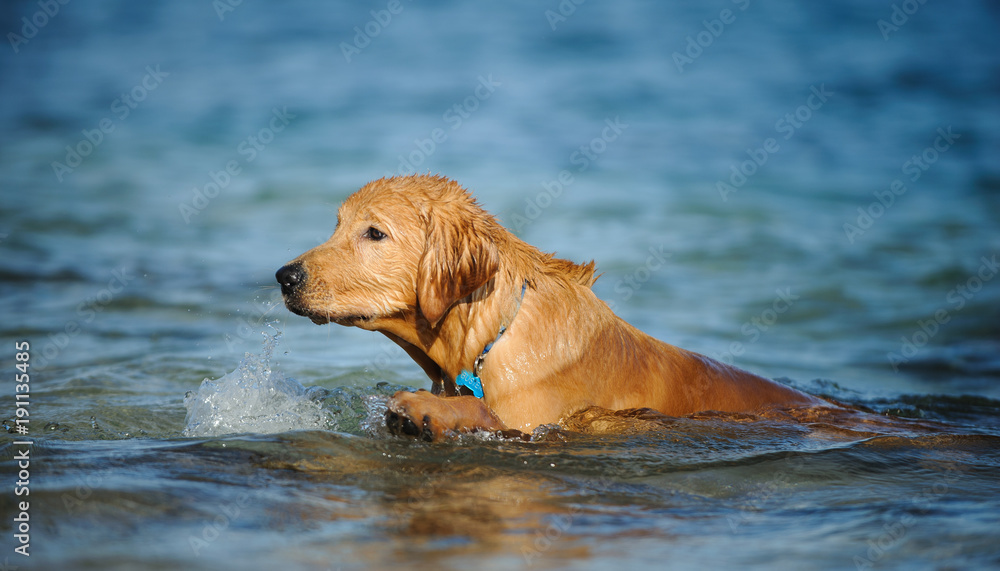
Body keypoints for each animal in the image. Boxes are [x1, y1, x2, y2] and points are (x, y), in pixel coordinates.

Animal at [276, 177, 820, 440]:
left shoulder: (536, 417)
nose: (284, 276)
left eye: (374, 233)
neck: (489, 335)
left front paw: (421, 410)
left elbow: (485, 412)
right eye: (337, 225)